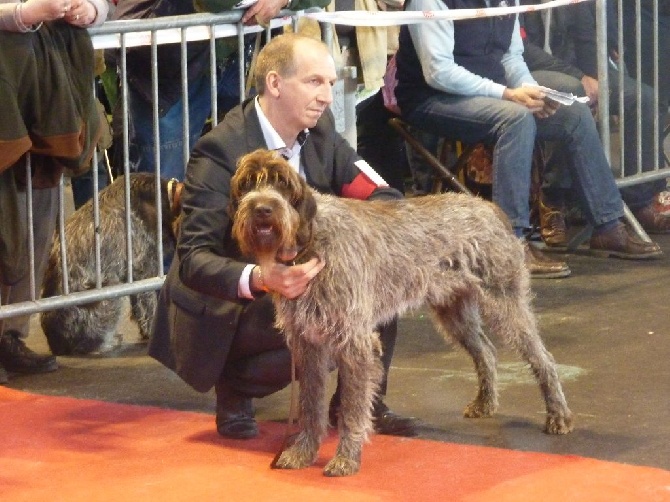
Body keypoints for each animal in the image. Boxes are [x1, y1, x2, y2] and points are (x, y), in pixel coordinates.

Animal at [232, 148, 576, 474]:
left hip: (504, 302)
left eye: (282, 183)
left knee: (542, 358)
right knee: (486, 351)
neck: (310, 241)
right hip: (454, 310)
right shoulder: (307, 343)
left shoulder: (354, 342)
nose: (262, 209)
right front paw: (303, 452)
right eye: (247, 185)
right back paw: (486, 402)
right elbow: (310, 406)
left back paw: (558, 415)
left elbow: (352, 410)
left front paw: (347, 458)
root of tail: (488, 206)